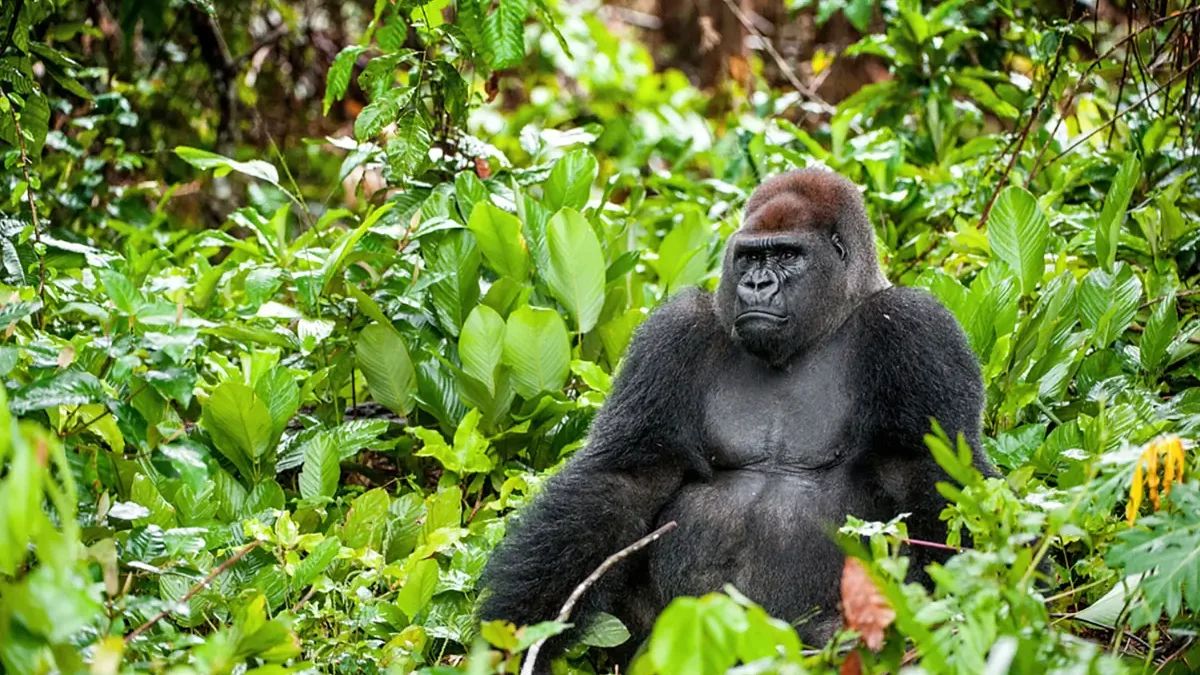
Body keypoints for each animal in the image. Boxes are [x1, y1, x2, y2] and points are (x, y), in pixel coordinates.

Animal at [477, 169, 996, 667]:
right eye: (748, 258)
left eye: (786, 255)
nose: (756, 285)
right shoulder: (674, 331)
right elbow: (626, 479)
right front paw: (516, 634)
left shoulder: (916, 326)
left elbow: (932, 476)